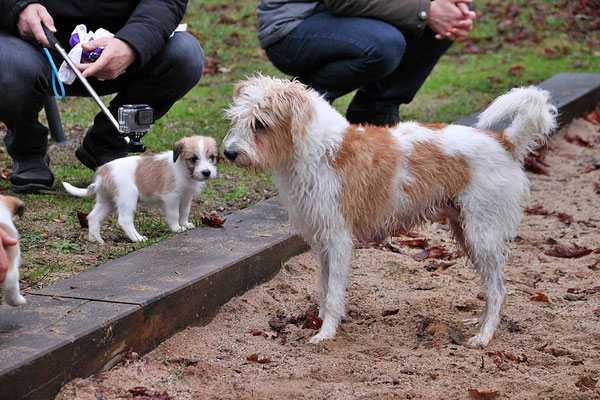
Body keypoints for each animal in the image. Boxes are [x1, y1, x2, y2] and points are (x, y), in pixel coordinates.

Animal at [63, 136, 218, 244]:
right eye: (193, 159)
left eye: (212, 157)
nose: (206, 172)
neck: (182, 168)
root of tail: (102, 172)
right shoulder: (171, 198)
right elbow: (174, 215)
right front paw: (177, 228)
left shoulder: (186, 198)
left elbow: (184, 212)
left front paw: (185, 224)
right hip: (128, 196)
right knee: (124, 220)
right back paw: (137, 238)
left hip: (106, 201)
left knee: (93, 217)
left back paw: (96, 240)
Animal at [225, 75, 556, 346]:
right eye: (236, 120)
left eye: (260, 124)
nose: (228, 153)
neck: (319, 150)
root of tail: (504, 141)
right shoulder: (321, 243)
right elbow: (323, 289)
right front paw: (318, 322)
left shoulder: (339, 240)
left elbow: (333, 294)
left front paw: (326, 333)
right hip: (467, 233)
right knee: (491, 287)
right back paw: (481, 321)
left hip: (481, 234)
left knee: (499, 289)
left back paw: (485, 336)